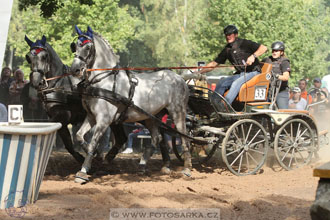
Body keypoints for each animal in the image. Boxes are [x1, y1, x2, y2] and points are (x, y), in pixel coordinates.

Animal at [24, 35, 127, 164]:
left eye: (44, 56)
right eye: (28, 57)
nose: (37, 81)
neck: (58, 84)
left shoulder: (63, 116)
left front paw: (92, 153)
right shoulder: (61, 121)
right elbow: (68, 144)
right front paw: (81, 157)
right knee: (121, 138)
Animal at [71, 25, 192, 182]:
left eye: (87, 47)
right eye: (75, 46)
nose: (74, 70)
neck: (104, 81)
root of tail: (180, 78)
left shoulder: (104, 120)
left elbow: (93, 143)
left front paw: (83, 172)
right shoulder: (91, 116)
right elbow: (79, 136)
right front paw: (97, 156)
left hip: (178, 112)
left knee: (184, 136)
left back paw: (187, 167)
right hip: (152, 117)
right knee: (157, 138)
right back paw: (144, 164)